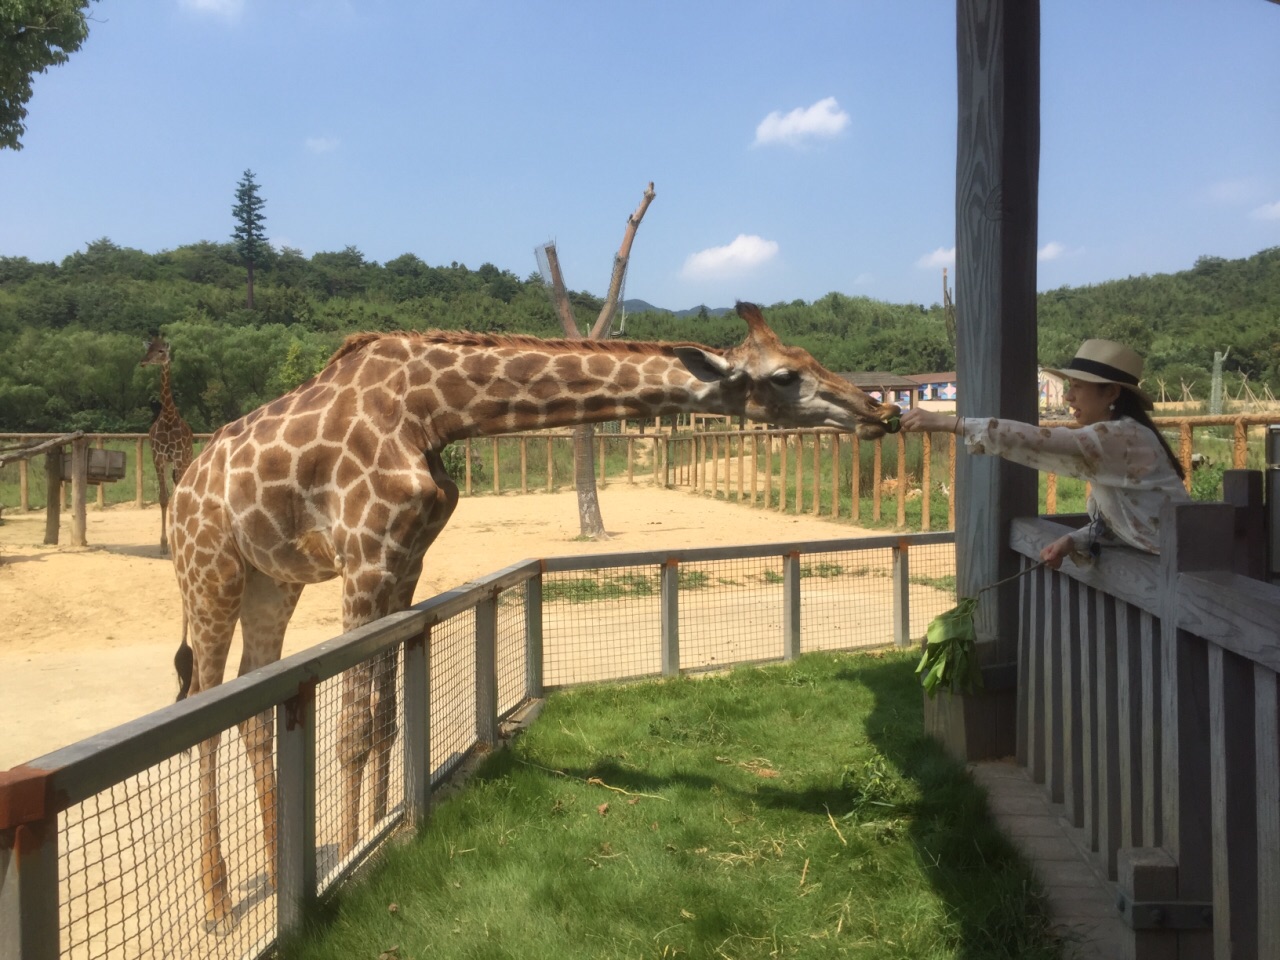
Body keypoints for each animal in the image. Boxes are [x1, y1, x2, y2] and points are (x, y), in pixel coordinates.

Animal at [170, 302, 906, 931]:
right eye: (786, 375)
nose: (880, 411)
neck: (433, 411)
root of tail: (181, 490)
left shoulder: (404, 562)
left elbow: (384, 723)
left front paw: (378, 829)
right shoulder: (364, 556)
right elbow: (352, 733)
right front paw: (350, 856)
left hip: (272, 580)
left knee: (251, 704)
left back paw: (272, 872)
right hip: (209, 571)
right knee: (204, 702)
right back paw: (218, 904)